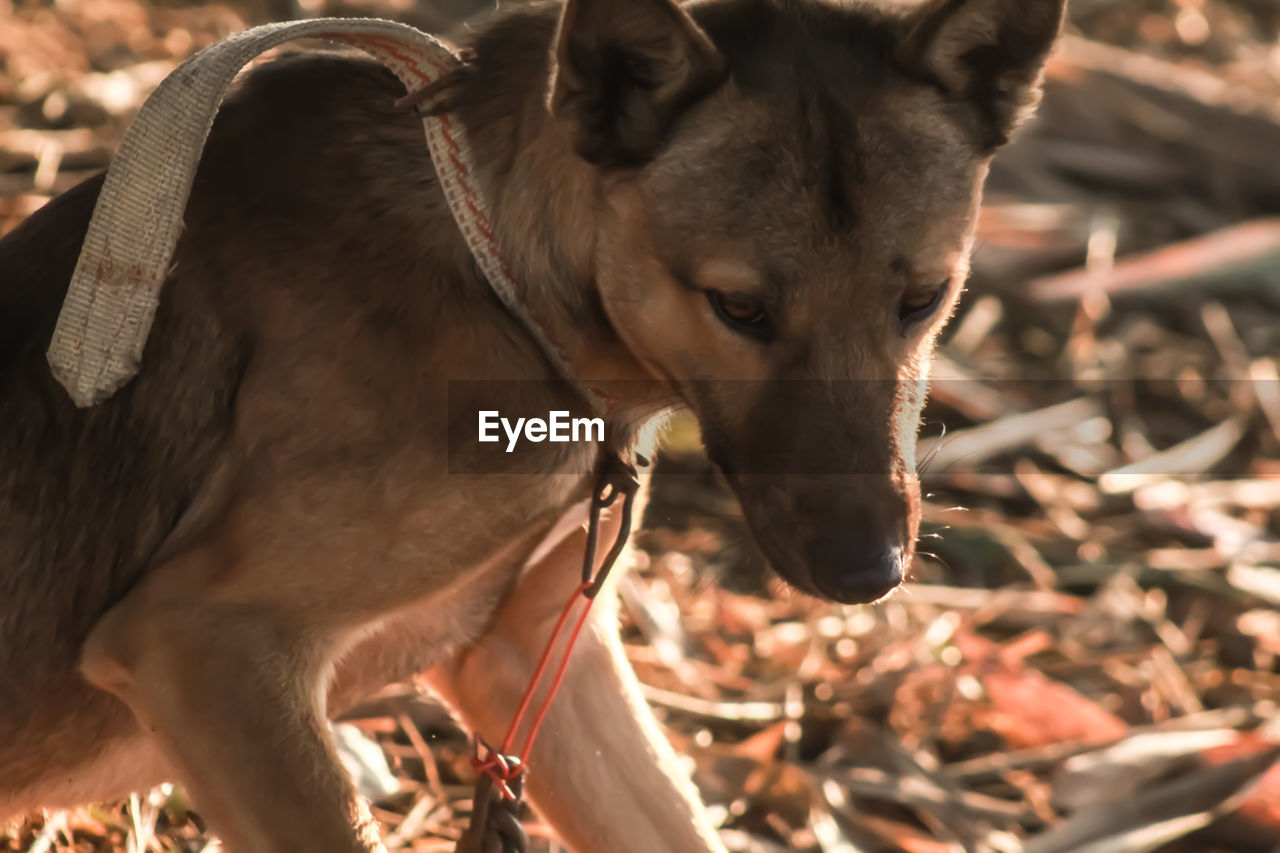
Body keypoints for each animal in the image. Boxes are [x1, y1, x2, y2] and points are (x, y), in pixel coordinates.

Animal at [0, 0, 1064, 845]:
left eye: (924, 299)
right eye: (741, 309)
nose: (865, 575)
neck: (503, 281)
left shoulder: (534, 661)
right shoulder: (204, 643)